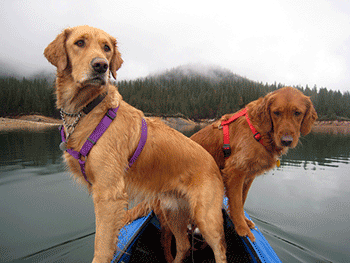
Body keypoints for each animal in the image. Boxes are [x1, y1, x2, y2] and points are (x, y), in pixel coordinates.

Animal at [43, 26, 227, 263]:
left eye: (106, 48)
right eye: (80, 43)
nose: (101, 65)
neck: (87, 109)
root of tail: (212, 161)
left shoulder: (109, 194)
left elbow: (101, 248)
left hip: (206, 216)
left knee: (220, 248)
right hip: (173, 211)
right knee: (184, 245)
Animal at [190, 87, 318, 242]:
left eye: (297, 113)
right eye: (276, 112)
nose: (286, 141)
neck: (259, 131)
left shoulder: (248, 176)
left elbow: (241, 201)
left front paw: (245, 222)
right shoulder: (236, 171)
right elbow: (237, 203)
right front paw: (243, 229)